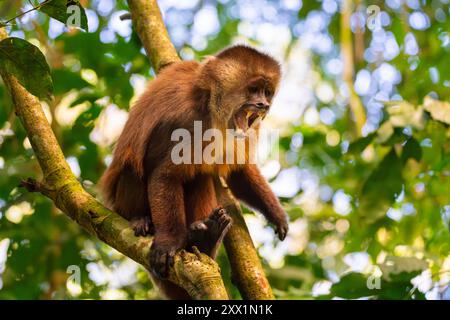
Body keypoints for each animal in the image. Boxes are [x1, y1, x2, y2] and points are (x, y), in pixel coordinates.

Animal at [99, 44, 288, 298]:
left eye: (267, 93)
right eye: (253, 90)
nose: (263, 105)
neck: (211, 108)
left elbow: (239, 171)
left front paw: (277, 214)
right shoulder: (186, 120)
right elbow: (163, 174)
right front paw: (169, 243)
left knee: (201, 176)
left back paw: (205, 241)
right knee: (134, 166)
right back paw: (139, 219)